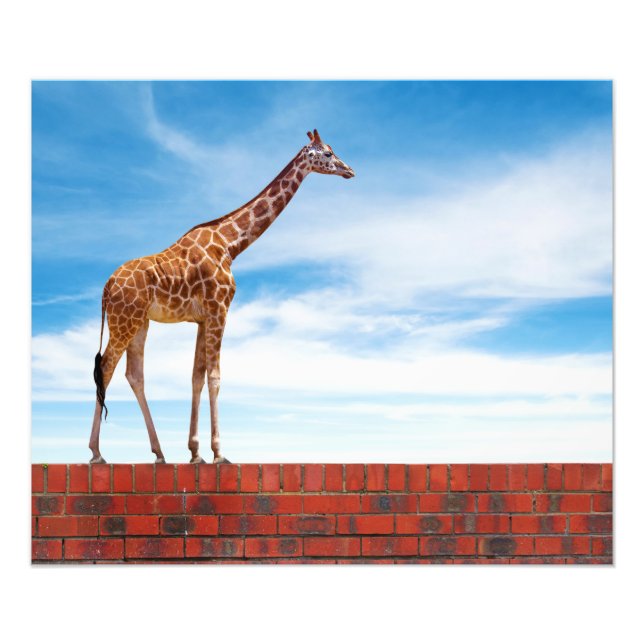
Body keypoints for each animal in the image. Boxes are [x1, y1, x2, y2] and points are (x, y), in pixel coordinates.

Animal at [89, 129, 354, 464]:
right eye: (329, 153)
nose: (350, 170)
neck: (231, 244)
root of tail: (105, 288)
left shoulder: (203, 318)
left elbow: (196, 376)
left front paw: (195, 452)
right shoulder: (220, 309)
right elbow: (215, 376)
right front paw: (218, 453)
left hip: (139, 322)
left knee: (133, 374)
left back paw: (159, 453)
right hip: (124, 320)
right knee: (105, 368)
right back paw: (96, 453)